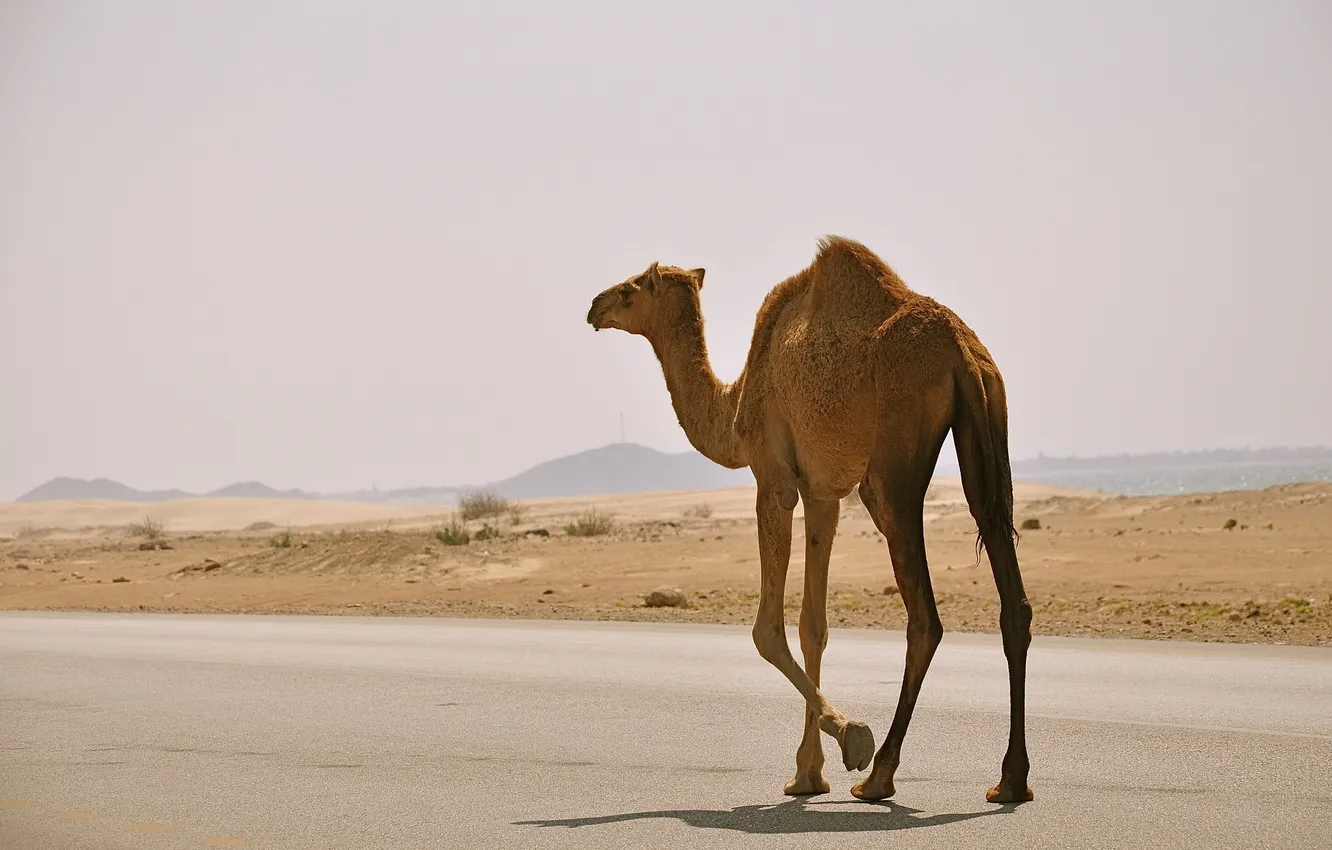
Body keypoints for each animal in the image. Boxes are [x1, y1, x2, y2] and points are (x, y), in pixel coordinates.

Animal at [585, 236, 1033, 804]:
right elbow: (812, 625)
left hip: (890, 467)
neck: (736, 402)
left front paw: (850, 739)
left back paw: (878, 774)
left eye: (629, 289)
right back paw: (1011, 779)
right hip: (989, 423)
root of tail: (960, 349)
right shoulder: (823, 495)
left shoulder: (774, 478)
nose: (593, 306)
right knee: (1007, 582)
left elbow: (767, 630)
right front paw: (807, 773)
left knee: (924, 618)